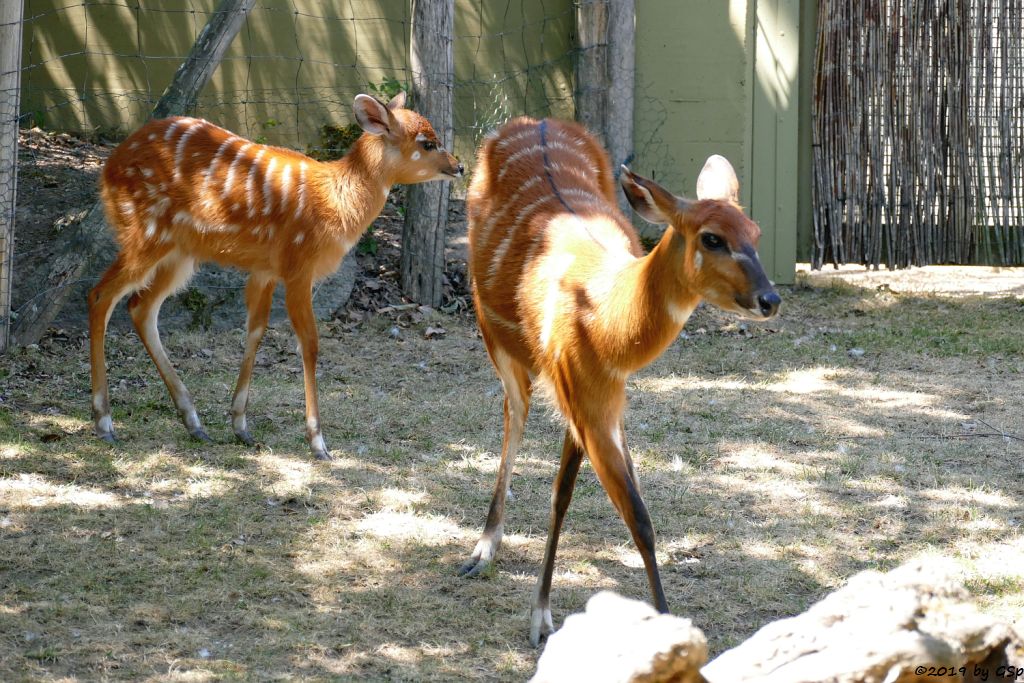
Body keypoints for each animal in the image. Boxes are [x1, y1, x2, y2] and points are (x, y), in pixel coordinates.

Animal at [88, 92, 464, 458]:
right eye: (427, 142)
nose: (459, 166)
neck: (336, 202)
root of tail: (108, 169)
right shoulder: (298, 266)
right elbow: (309, 343)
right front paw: (318, 443)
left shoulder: (265, 269)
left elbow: (256, 330)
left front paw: (241, 426)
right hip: (146, 235)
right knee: (101, 295)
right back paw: (104, 423)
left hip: (181, 253)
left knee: (141, 306)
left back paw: (193, 423)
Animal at [460, 117, 778, 647]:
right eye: (712, 238)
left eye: (754, 230)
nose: (770, 299)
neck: (605, 324)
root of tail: (532, 120)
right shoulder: (579, 396)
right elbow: (586, 501)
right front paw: (540, 619)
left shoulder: (608, 400)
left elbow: (630, 511)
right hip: (491, 330)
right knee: (513, 414)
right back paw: (481, 549)